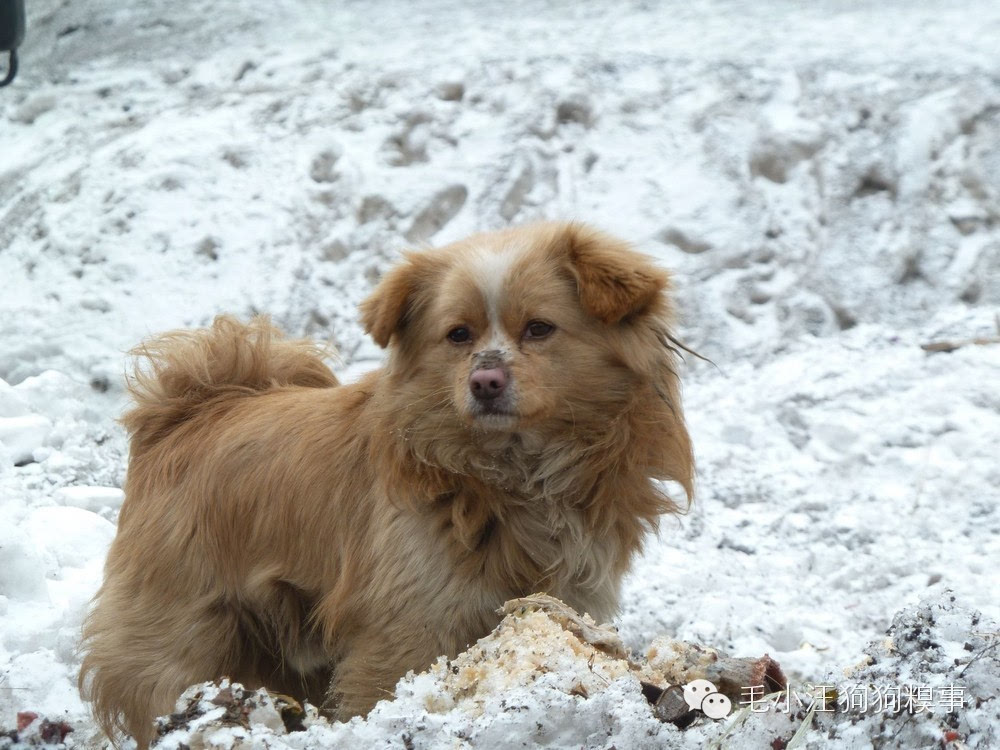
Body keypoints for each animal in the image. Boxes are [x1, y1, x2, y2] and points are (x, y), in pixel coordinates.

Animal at [80, 220, 696, 748]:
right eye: (458, 335)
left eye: (540, 329)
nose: (485, 381)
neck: (514, 472)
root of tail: (192, 412)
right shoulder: (410, 622)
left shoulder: (562, 595)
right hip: (184, 632)